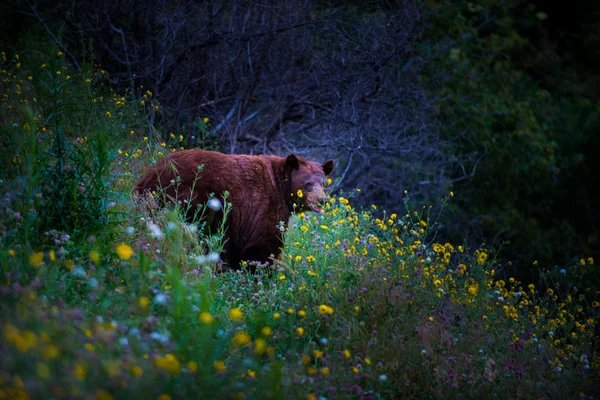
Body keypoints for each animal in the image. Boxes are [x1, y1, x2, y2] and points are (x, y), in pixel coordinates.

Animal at [134, 148, 336, 270]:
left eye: (323, 182)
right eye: (308, 183)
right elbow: (264, 244)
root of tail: (152, 172)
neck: (280, 186)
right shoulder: (264, 206)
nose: (322, 200)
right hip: (189, 199)